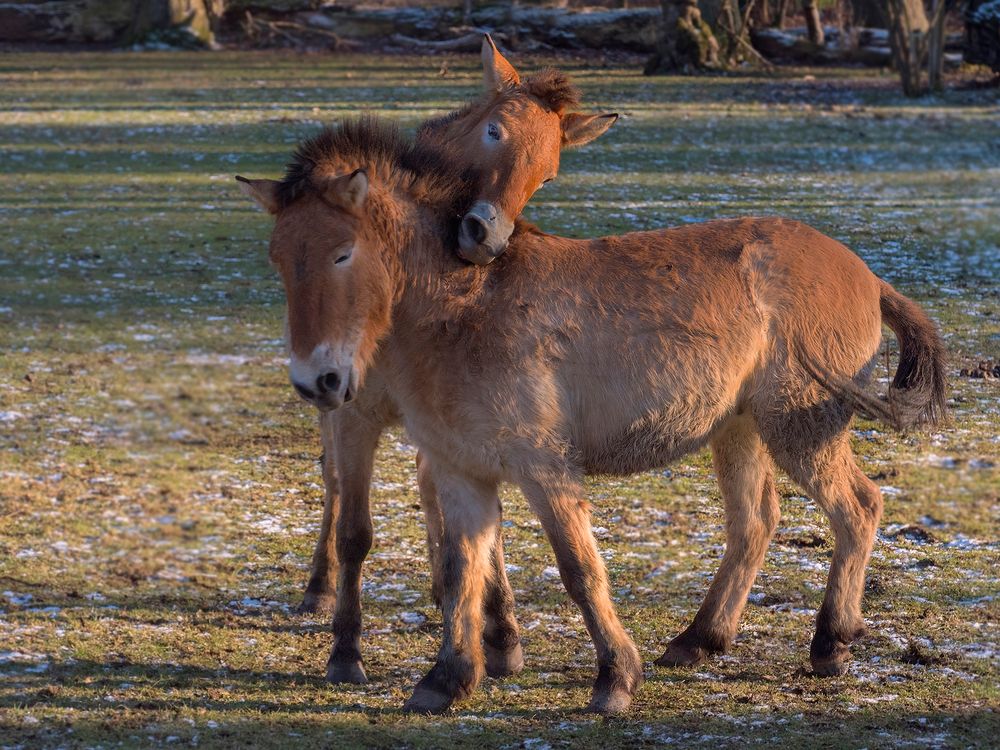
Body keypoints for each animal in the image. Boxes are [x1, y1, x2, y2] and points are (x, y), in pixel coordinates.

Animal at [241, 44, 616, 684]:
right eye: (494, 131)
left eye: (548, 170)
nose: (483, 236)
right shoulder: (354, 413)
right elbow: (355, 530)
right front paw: (346, 650)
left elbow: (476, 517)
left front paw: (499, 630)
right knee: (334, 485)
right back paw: (320, 588)